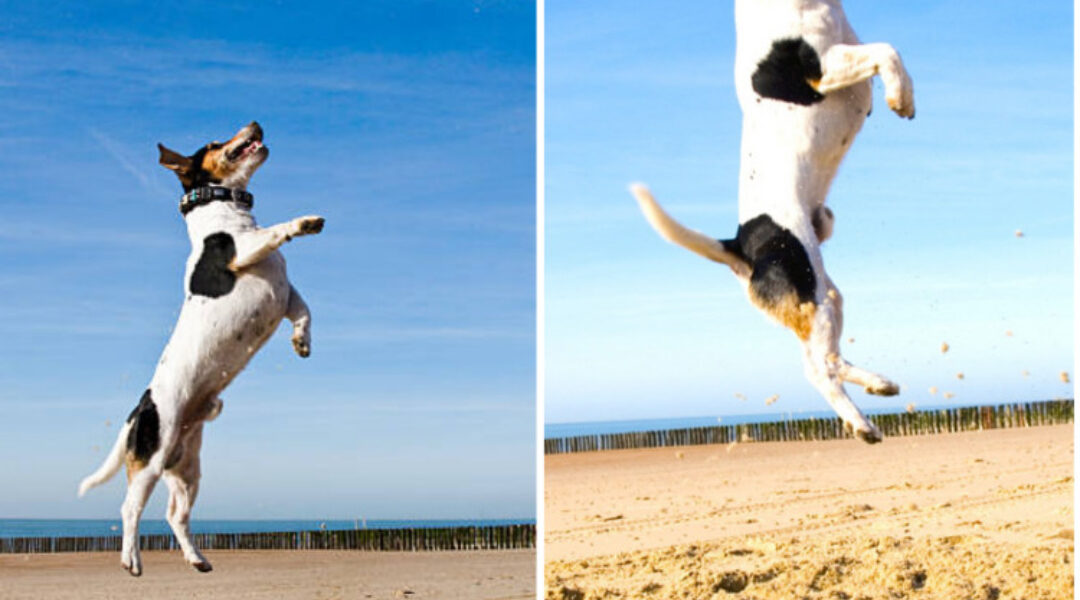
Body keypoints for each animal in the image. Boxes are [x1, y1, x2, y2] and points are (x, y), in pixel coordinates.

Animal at [77, 120, 324, 569]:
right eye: (214, 143)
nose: (256, 123)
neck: (224, 211)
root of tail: (139, 408)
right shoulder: (244, 251)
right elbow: (275, 231)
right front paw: (305, 222)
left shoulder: (286, 294)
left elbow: (304, 311)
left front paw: (301, 341)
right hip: (151, 459)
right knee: (130, 507)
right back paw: (131, 560)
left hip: (187, 469)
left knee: (175, 515)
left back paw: (197, 559)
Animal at [630, 0, 915, 440]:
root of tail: (739, 245)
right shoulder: (825, 65)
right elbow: (888, 50)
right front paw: (901, 98)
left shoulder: (847, 48)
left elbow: (885, 51)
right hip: (811, 294)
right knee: (819, 369)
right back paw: (862, 424)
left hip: (823, 297)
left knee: (828, 360)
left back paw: (879, 384)